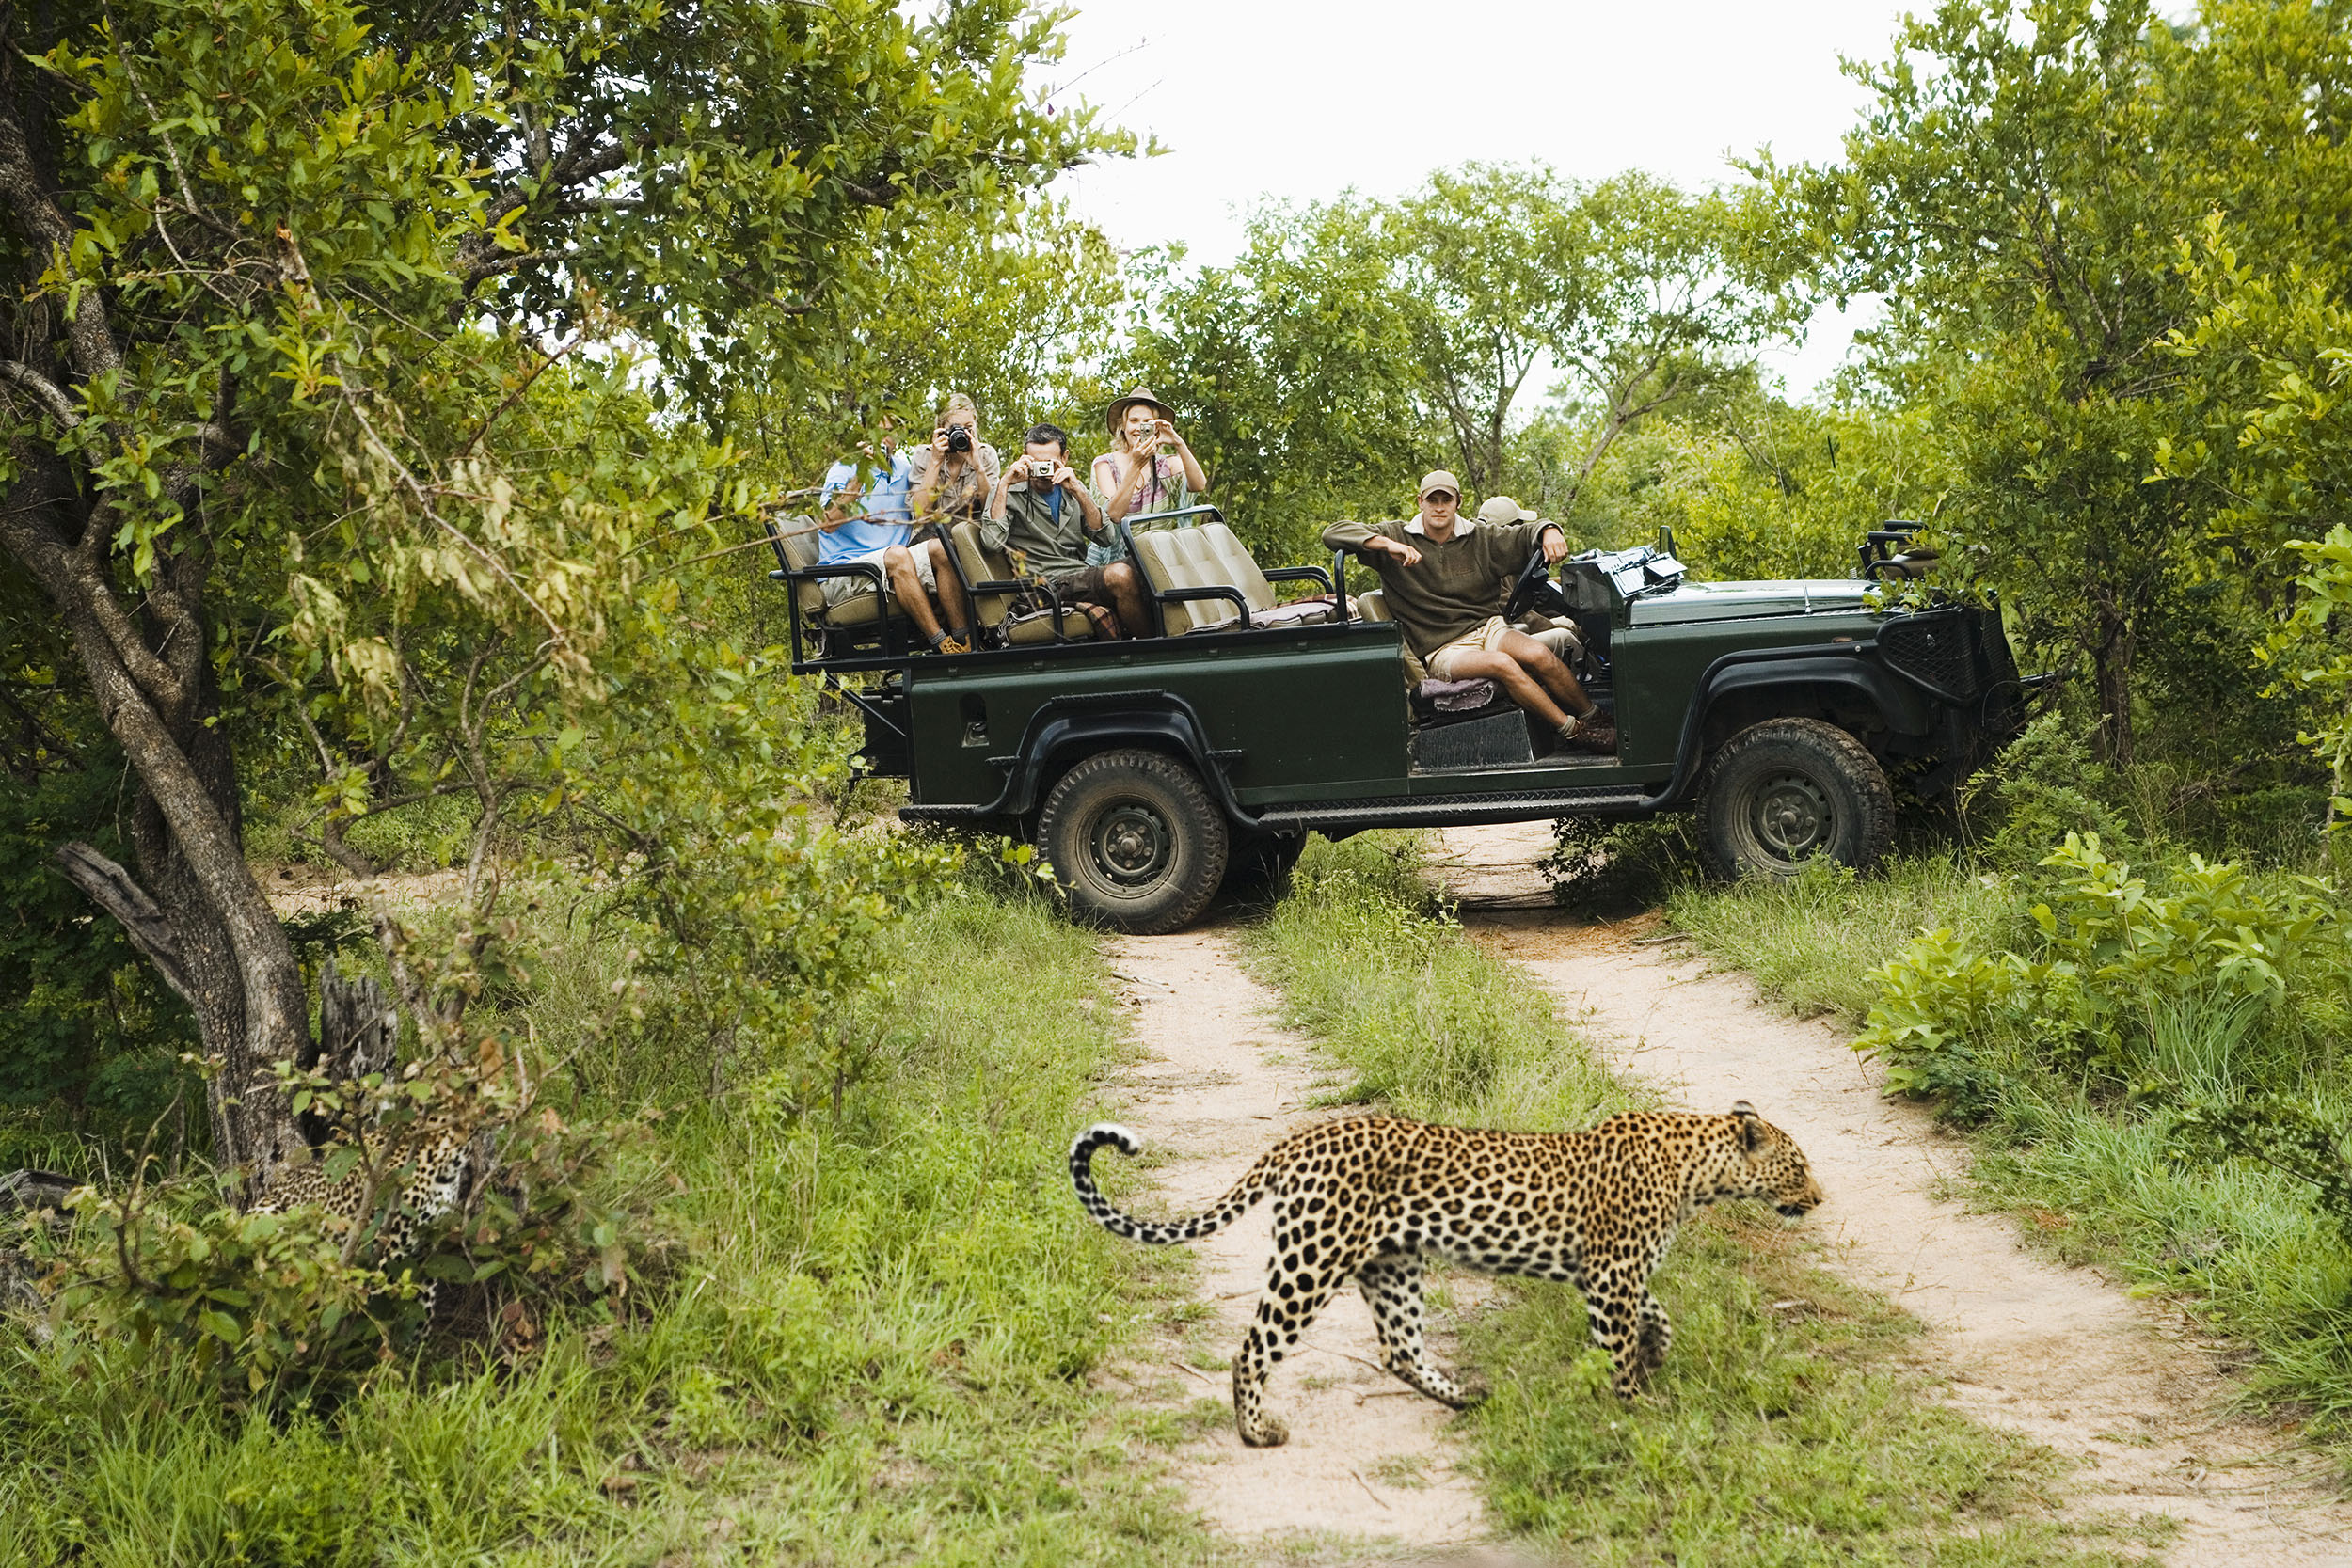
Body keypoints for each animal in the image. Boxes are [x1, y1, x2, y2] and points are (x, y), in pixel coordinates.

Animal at [1077, 1104, 1825, 1448]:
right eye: (1799, 1166)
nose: (1819, 1198)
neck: (1698, 1171)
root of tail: (1296, 1140)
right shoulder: (1612, 1274)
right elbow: (1618, 1346)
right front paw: (1636, 1407)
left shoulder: (1614, 1274)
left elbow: (1656, 1310)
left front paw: (1657, 1351)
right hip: (1312, 1259)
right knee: (1253, 1347)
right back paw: (1258, 1432)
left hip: (1392, 1264)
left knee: (1398, 1347)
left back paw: (1466, 1397)